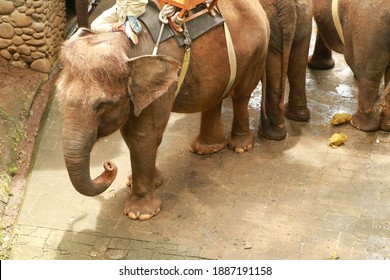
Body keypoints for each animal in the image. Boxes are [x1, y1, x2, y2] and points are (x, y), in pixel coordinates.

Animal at [58, 0, 270, 221]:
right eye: (60, 99)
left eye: (102, 105)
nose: (109, 165)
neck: (125, 43)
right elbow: (130, 134)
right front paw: (141, 183)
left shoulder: (162, 86)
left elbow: (144, 135)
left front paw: (139, 214)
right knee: (214, 96)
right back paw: (206, 148)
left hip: (256, 53)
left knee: (241, 96)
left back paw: (240, 147)